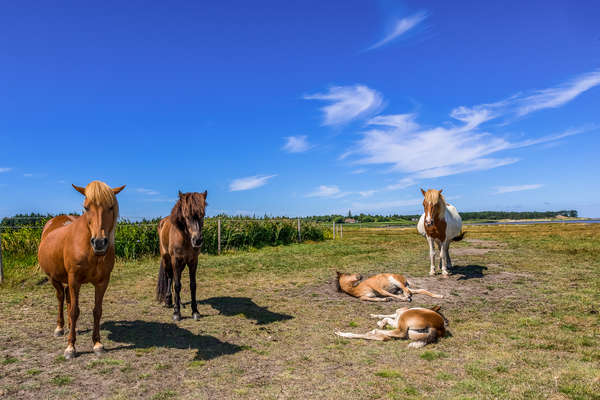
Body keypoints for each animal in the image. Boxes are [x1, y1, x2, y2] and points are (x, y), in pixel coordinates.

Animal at [37, 181, 125, 360]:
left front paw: (97, 344)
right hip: (54, 278)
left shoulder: (102, 282)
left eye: (111, 207)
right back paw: (60, 328)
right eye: (86, 207)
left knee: (67, 298)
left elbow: (97, 311)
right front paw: (71, 347)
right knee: (60, 297)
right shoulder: (74, 280)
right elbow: (74, 311)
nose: (99, 243)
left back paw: (74, 327)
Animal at [156, 191, 207, 322]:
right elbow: (177, 285)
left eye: (203, 215)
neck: (185, 237)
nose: (197, 240)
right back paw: (169, 301)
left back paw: (177, 301)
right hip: (167, 259)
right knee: (170, 277)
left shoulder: (193, 261)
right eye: (187, 216)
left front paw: (195, 311)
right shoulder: (176, 260)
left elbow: (192, 285)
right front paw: (176, 313)